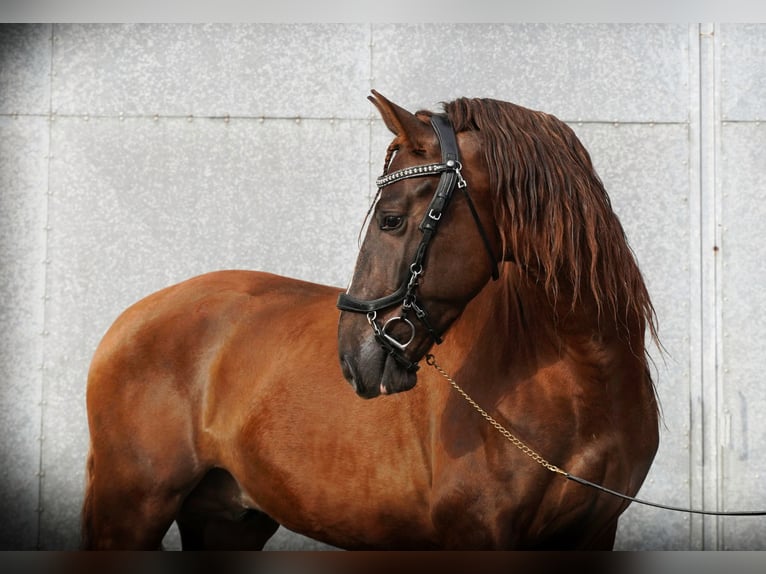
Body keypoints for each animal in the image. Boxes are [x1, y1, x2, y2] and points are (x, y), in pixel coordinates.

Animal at [82, 92, 660, 552]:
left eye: (391, 219)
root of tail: (130, 319)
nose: (353, 355)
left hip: (227, 522)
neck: (580, 381)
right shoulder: (478, 534)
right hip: (130, 511)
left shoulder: (593, 535)